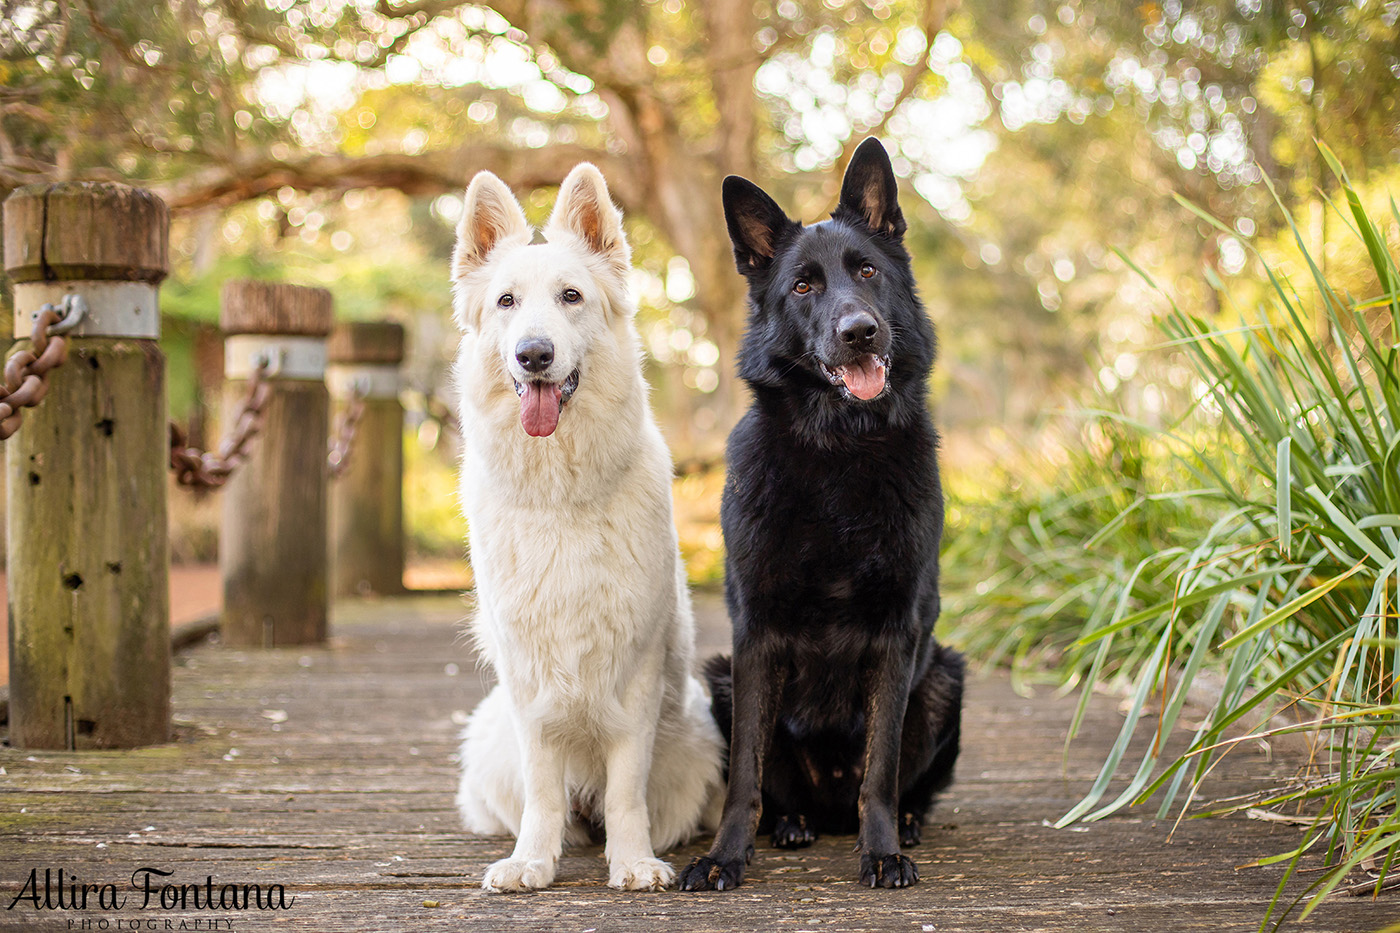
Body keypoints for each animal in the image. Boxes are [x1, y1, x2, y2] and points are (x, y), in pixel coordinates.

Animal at [453, 163, 728, 890]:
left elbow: (627, 786)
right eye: (507, 302)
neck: (561, 495)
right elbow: (544, 787)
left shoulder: (633, 673)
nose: (534, 354)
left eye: (571, 296)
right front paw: (532, 860)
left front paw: (631, 860)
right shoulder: (527, 679)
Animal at [677, 136, 963, 885]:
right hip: (720, 678)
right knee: (779, 788)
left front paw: (883, 849)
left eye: (866, 270)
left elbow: (881, 769)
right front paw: (724, 858)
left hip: (944, 676)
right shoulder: (755, 638)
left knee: (895, 781)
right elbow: (745, 776)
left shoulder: (897, 635)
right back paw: (793, 822)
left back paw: (906, 822)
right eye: (803, 287)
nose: (859, 331)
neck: (838, 452)